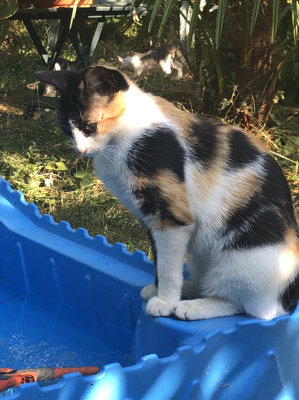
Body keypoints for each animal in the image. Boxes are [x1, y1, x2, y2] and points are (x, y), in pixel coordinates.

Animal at [35, 66, 299, 322]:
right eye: (66, 129)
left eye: (90, 126)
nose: (80, 150)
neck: (125, 135)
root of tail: (290, 297)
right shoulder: (148, 217)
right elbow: (160, 259)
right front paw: (158, 289)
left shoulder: (171, 215)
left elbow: (168, 268)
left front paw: (165, 302)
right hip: (201, 255)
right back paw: (191, 289)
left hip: (246, 262)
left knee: (251, 308)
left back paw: (193, 307)